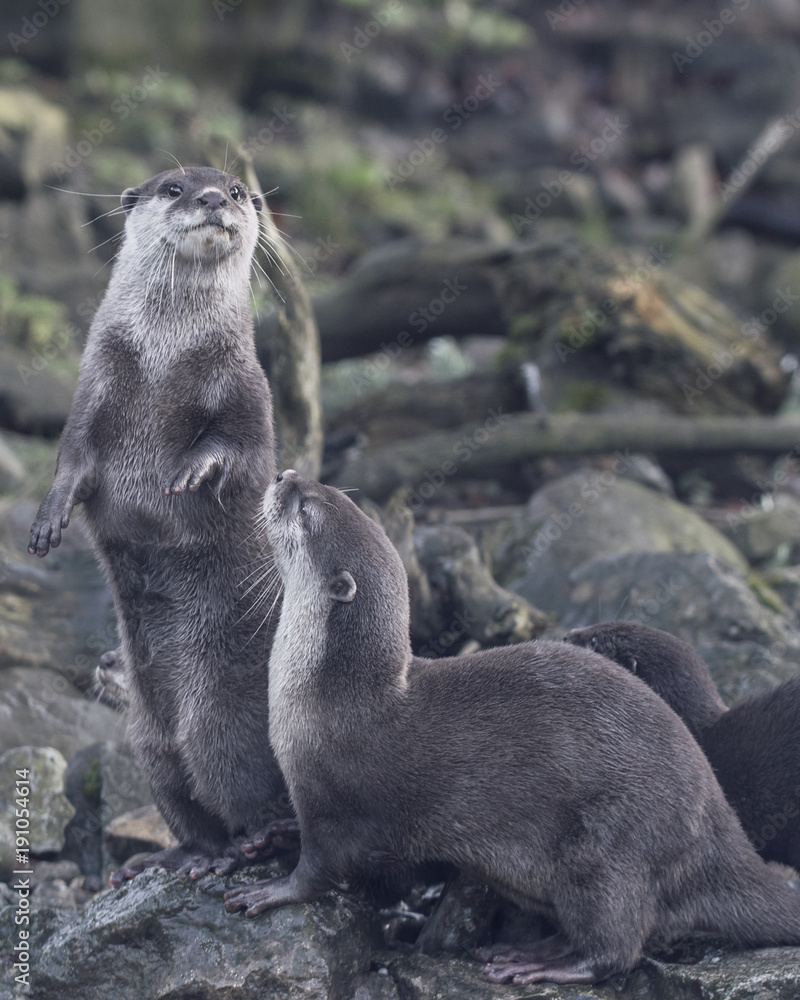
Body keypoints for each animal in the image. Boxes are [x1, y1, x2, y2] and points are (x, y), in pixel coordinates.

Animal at [29, 167, 292, 883]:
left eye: (237, 190)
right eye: (174, 187)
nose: (214, 199)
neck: (164, 362)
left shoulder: (246, 385)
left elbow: (242, 448)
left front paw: (193, 470)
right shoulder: (94, 386)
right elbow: (70, 459)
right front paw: (48, 520)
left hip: (217, 715)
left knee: (247, 785)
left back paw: (255, 843)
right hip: (149, 739)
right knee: (185, 801)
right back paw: (172, 857)